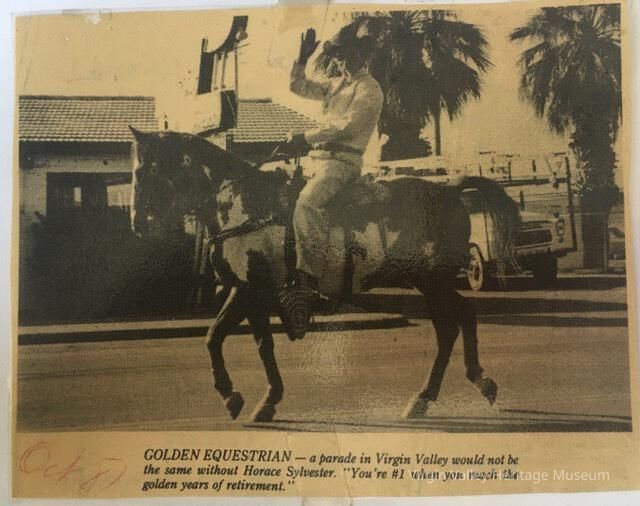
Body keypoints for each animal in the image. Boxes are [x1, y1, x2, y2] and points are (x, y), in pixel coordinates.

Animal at [128, 128, 521, 423]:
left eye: (146, 171)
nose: (137, 224)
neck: (244, 207)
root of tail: (451, 189)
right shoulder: (242, 289)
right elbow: (214, 337)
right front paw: (232, 397)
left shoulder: (255, 290)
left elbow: (261, 344)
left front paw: (266, 399)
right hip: (426, 280)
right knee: (457, 322)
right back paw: (456, 388)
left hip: (432, 279)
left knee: (452, 326)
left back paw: (439, 393)